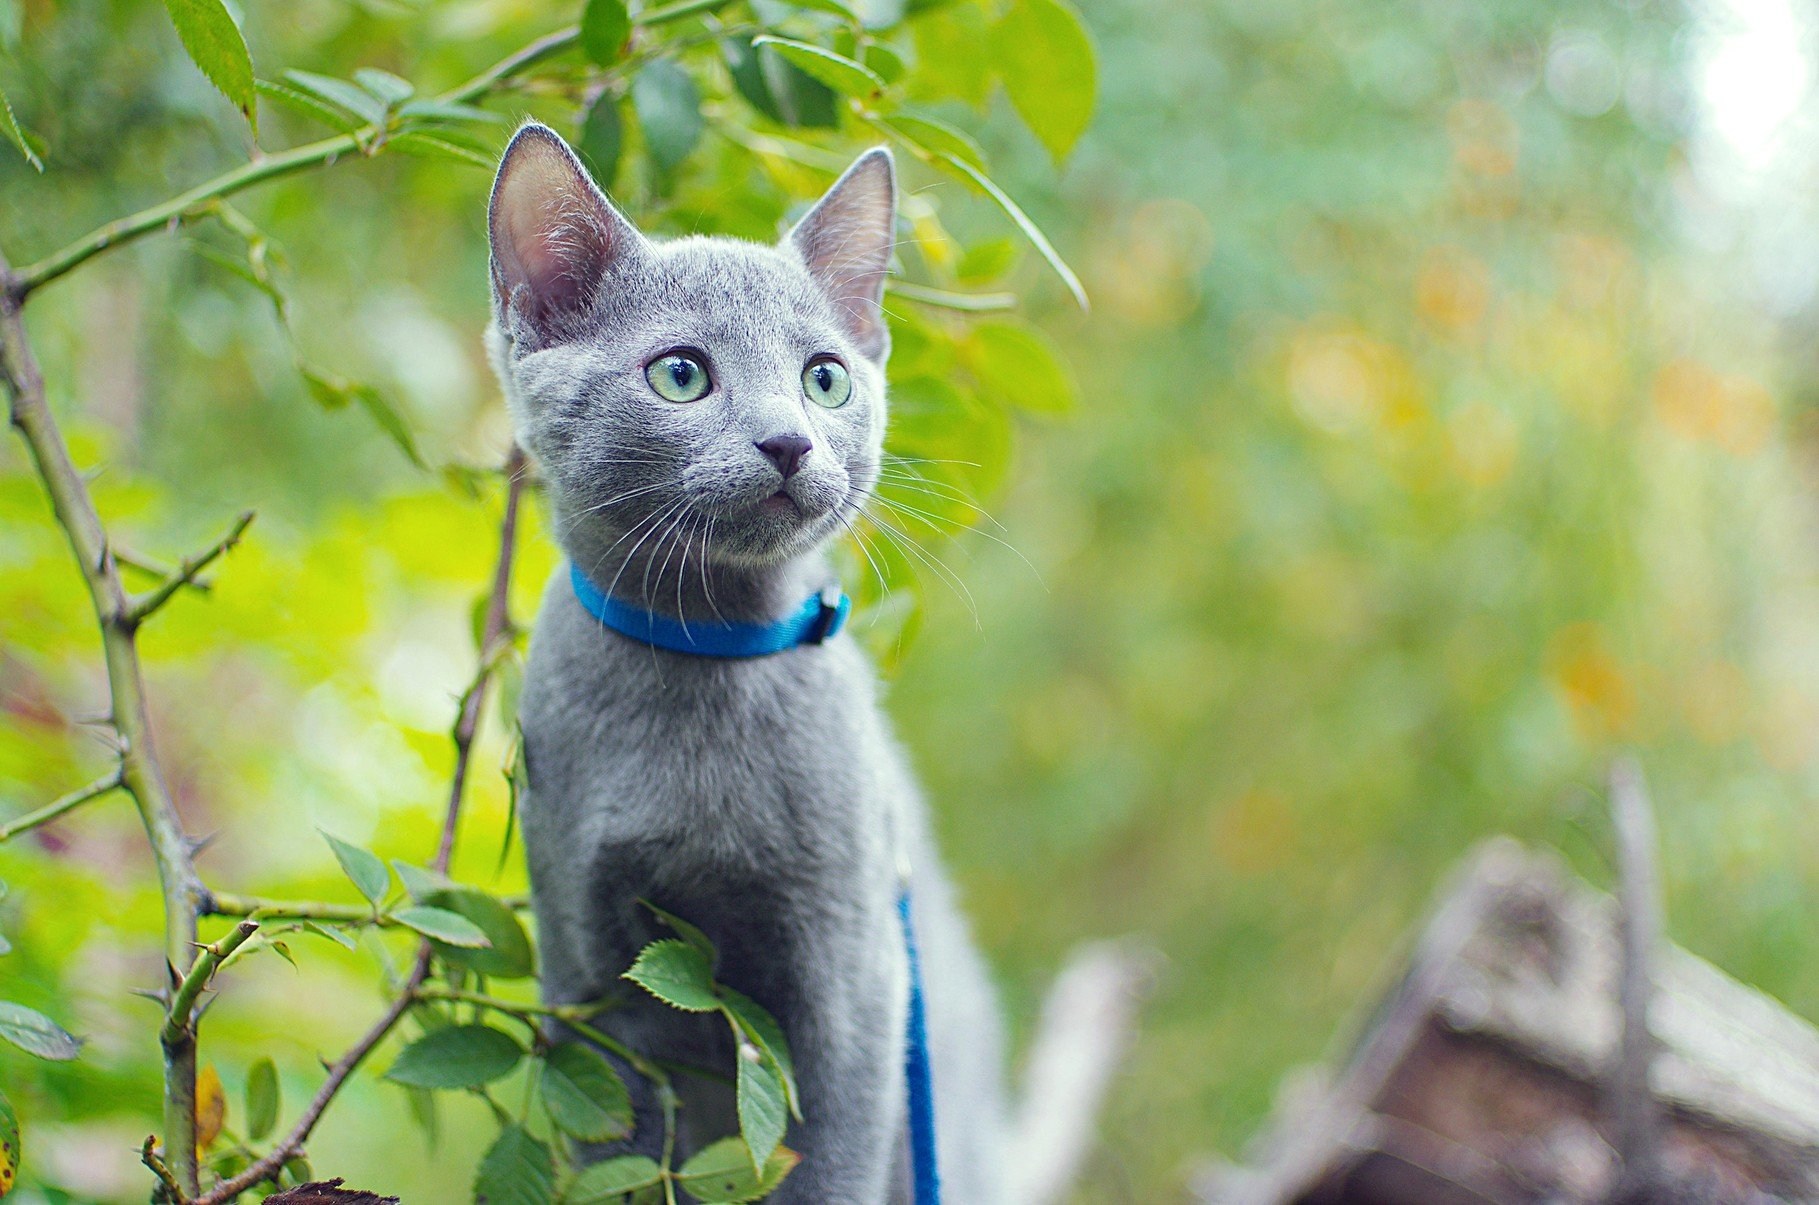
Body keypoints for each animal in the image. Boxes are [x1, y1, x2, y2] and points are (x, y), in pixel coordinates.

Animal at [483, 120, 1011, 1201]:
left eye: (824, 378)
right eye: (681, 374)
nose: (788, 442)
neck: (705, 647)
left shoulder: (854, 977)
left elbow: (826, 1158)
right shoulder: (588, 977)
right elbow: (615, 1148)